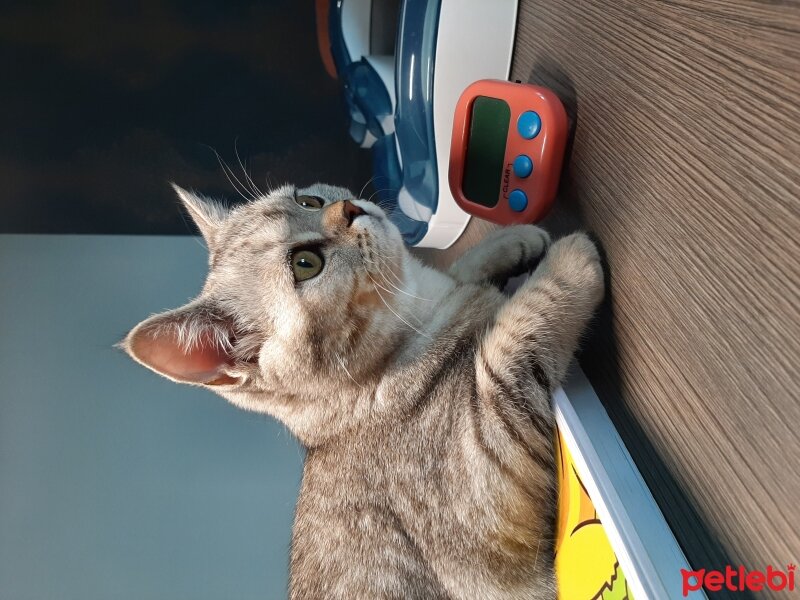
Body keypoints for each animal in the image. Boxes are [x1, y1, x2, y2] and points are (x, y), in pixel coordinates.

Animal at [123, 184, 600, 600]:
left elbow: (462, 269)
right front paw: (574, 251)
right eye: (305, 263)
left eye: (308, 199)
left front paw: (512, 239)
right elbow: (519, 329)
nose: (349, 208)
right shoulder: (487, 464)